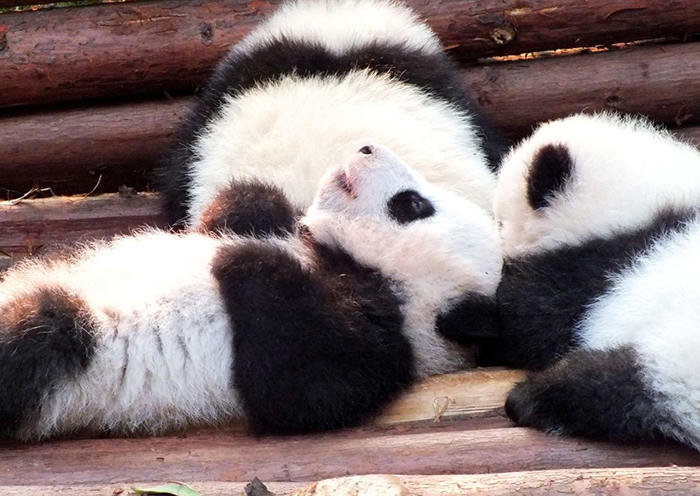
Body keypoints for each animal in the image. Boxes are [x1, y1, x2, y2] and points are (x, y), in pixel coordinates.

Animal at [0, 144, 501, 440]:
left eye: (413, 204)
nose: (366, 146)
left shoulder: (388, 344)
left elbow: (298, 389)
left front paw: (244, 257)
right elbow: (240, 211)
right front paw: (254, 213)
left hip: (76, 349)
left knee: (39, 336)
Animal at [488, 112, 700, 450]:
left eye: (498, 221)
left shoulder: (598, 273)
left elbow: (527, 320)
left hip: (681, 357)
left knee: (625, 381)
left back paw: (534, 399)